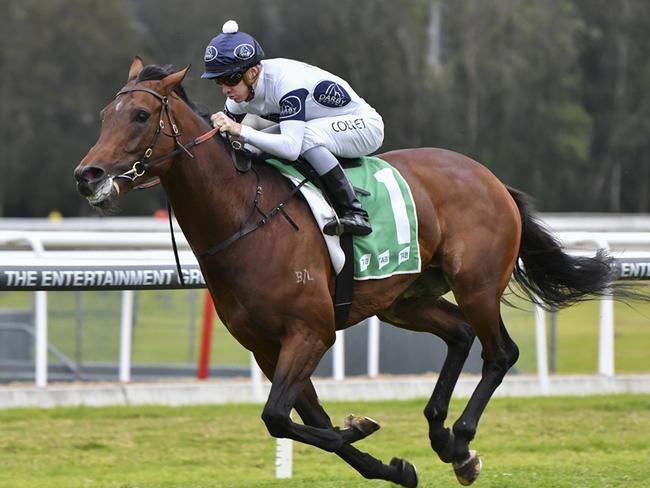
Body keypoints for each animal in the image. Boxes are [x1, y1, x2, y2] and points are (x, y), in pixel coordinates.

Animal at [72, 58, 616, 488]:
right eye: (102, 117)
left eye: (141, 115)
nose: (87, 176)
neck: (245, 217)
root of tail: (491, 178)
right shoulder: (267, 346)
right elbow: (305, 419)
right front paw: (388, 462)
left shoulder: (311, 331)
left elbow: (277, 416)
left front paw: (362, 430)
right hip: (404, 301)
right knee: (459, 335)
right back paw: (440, 435)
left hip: (477, 284)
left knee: (501, 352)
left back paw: (461, 445)